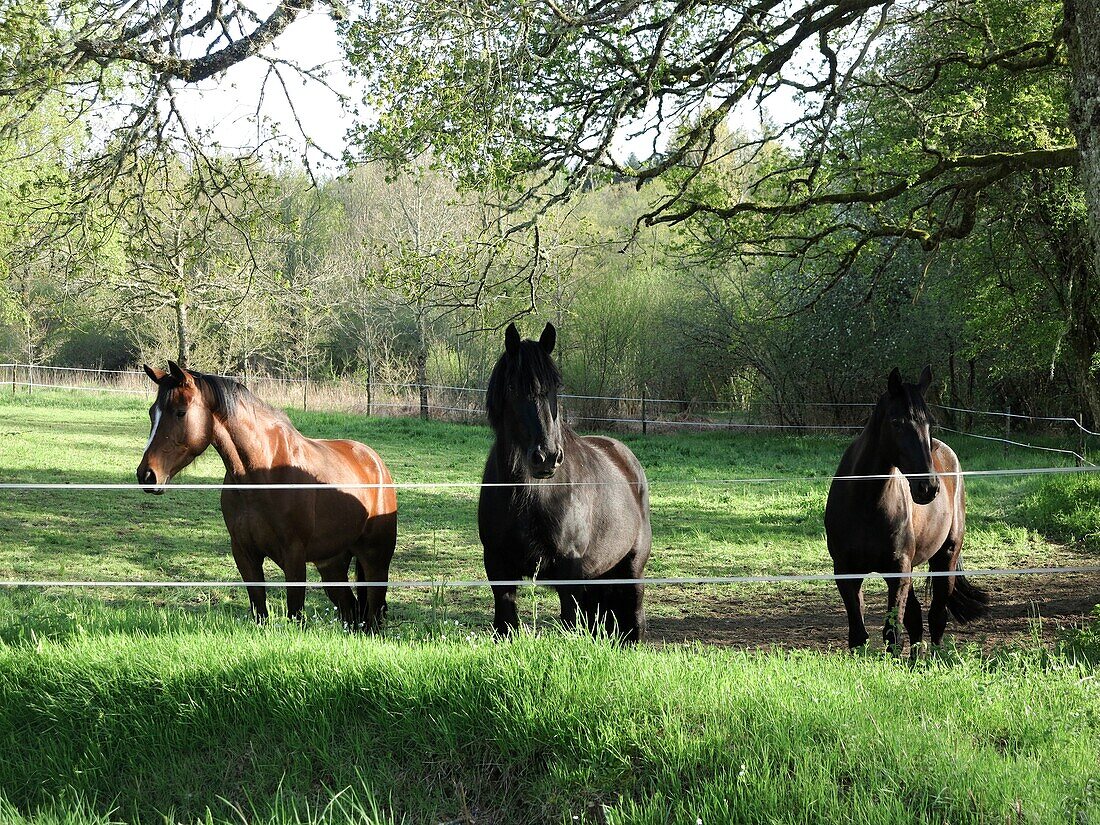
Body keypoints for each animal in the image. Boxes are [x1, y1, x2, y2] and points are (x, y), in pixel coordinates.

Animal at [135, 363, 398, 633]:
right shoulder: (244, 553)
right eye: (152, 413)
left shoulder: (294, 555)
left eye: (180, 412)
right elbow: (259, 608)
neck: (262, 473)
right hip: (332, 564)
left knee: (373, 612)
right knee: (351, 609)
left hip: (376, 558)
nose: (147, 475)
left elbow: (295, 613)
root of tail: (375, 462)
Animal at [479, 325, 651, 642]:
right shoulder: (498, 567)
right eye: (512, 388)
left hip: (631, 571)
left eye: (555, 387)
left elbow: (570, 625)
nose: (546, 457)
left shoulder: (569, 570)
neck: (529, 496)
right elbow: (506, 625)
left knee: (634, 623)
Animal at [827, 367, 990, 660]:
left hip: (946, 557)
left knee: (937, 616)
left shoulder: (898, 573)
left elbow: (893, 634)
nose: (929, 487)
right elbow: (858, 635)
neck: (866, 504)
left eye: (929, 424)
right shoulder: (846, 572)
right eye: (896, 422)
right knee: (915, 620)